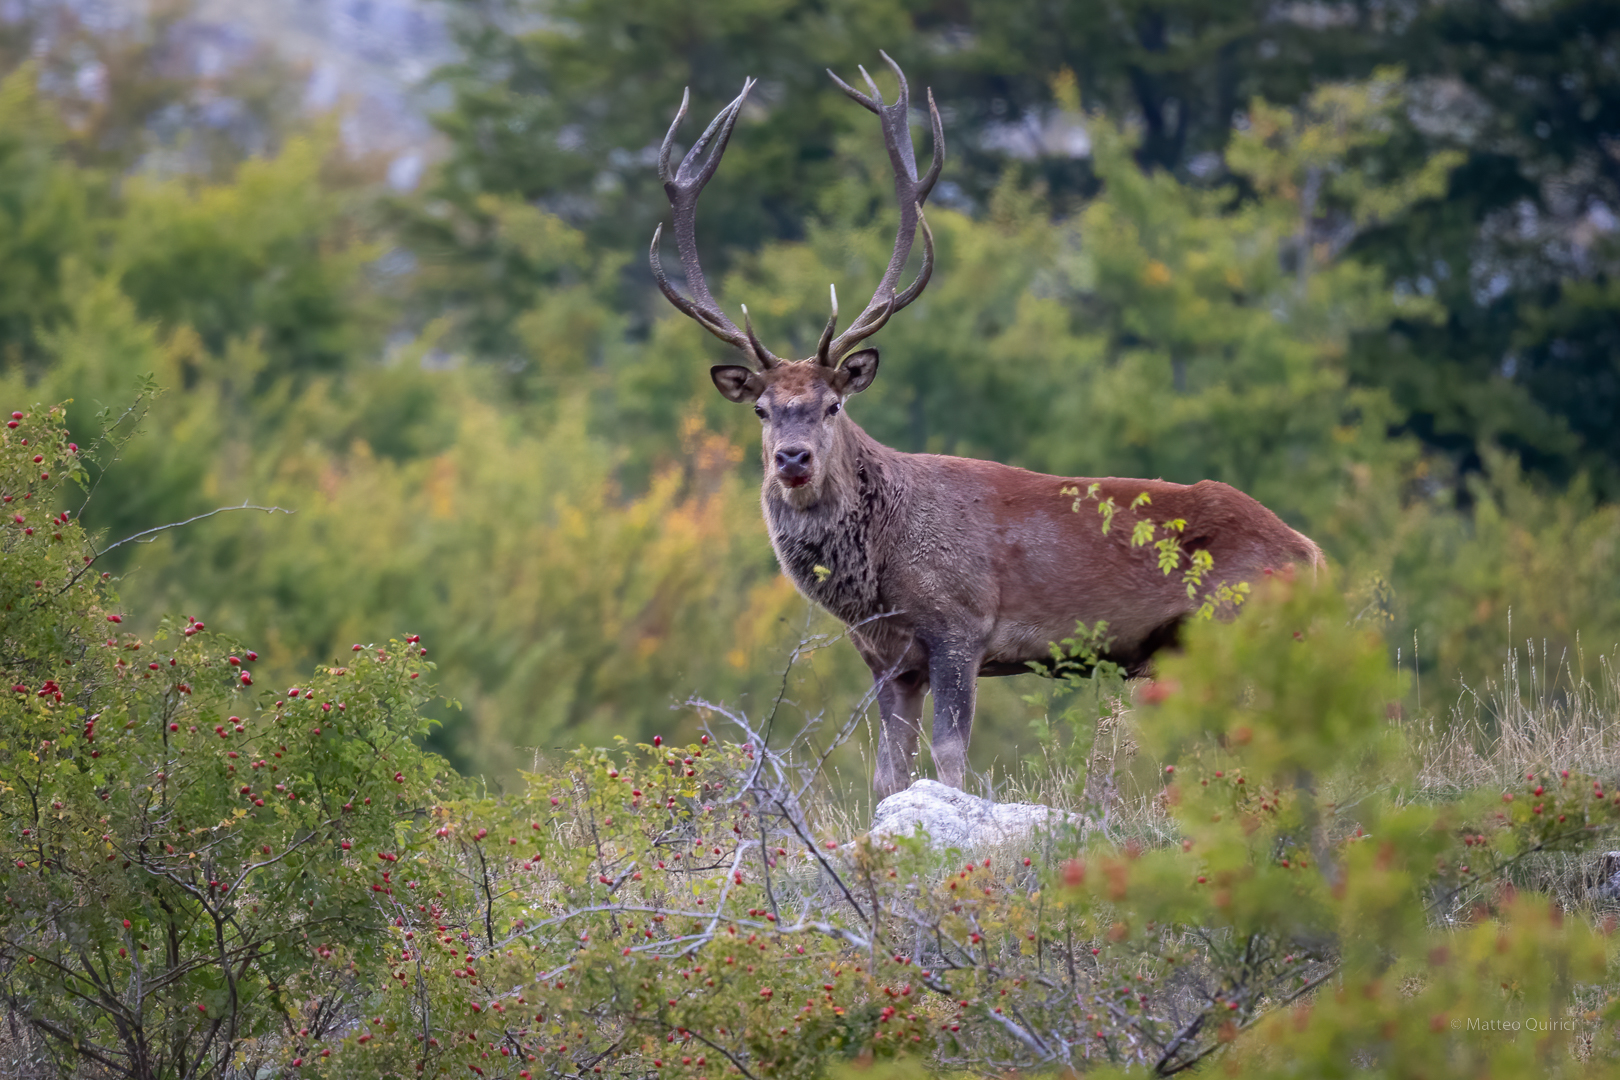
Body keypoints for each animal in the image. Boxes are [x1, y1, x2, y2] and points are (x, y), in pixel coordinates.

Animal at [650, 53, 1324, 801]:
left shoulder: (961, 624)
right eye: (762, 409)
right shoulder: (886, 657)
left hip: (1240, 624)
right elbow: (888, 774)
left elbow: (950, 757)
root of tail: (1311, 555)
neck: (878, 575)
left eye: (833, 405)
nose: (792, 459)